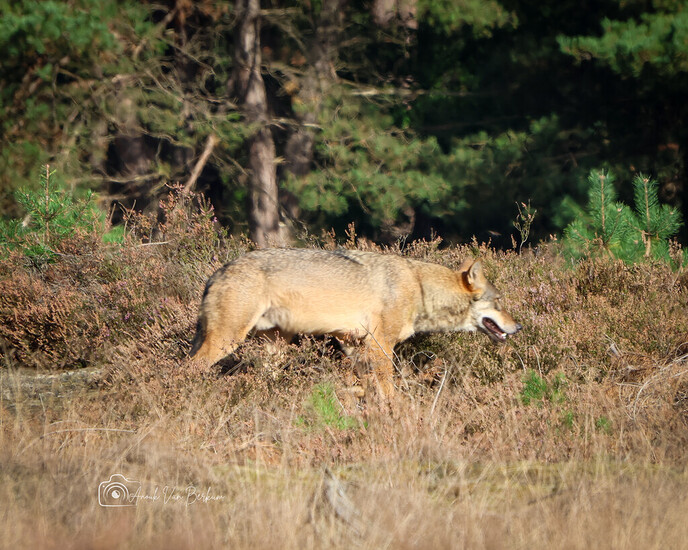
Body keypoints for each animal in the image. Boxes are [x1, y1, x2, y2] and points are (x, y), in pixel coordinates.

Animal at [190, 248, 521, 392]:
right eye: (499, 302)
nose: (518, 326)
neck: (419, 288)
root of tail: (217, 272)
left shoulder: (353, 345)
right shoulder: (381, 346)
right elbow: (389, 391)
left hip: (275, 348)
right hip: (228, 340)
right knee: (191, 367)